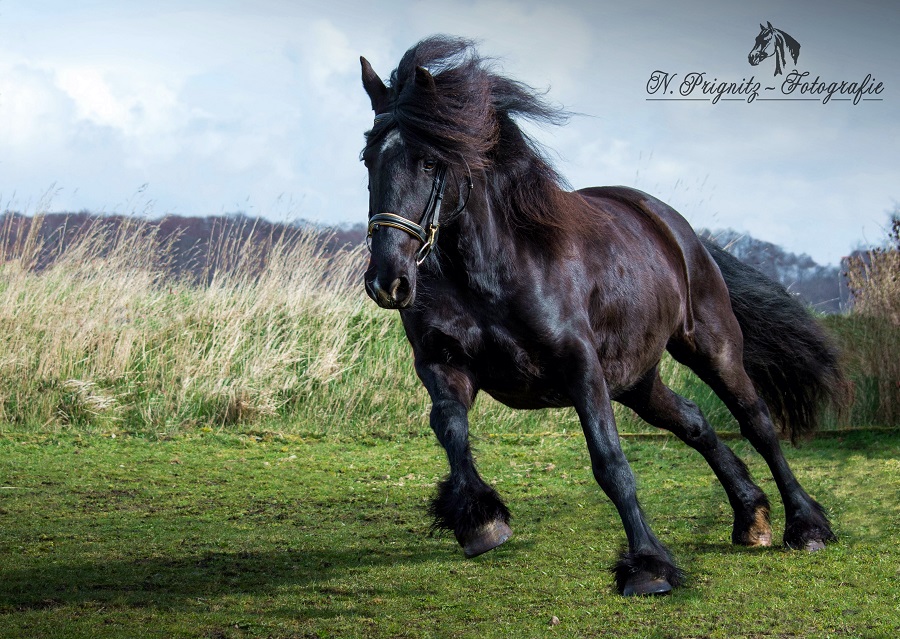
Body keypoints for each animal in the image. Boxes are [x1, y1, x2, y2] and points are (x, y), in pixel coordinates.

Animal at [356, 36, 844, 596]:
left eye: (431, 163)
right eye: (368, 157)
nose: (387, 281)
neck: (488, 271)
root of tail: (677, 229)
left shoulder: (580, 366)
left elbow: (610, 461)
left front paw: (649, 567)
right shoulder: (443, 366)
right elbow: (451, 431)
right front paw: (480, 520)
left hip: (710, 347)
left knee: (757, 421)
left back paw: (806, 526)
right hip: (636, 380)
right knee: (694, 422)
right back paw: (751, 516)